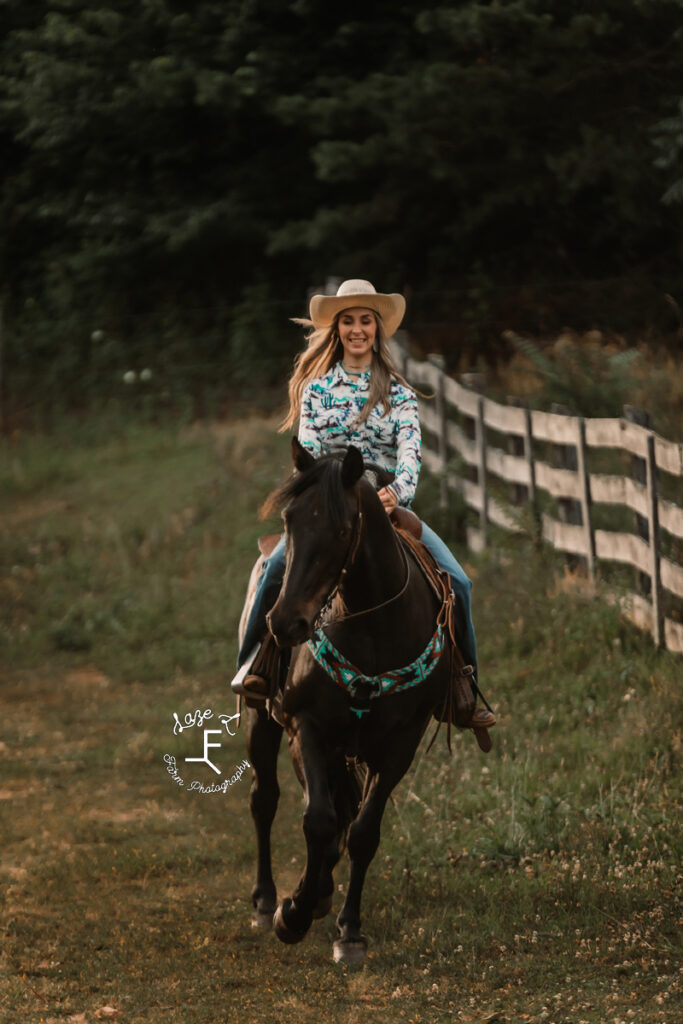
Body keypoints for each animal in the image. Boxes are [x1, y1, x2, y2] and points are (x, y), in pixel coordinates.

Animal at [242, 438, 450, 958]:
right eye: (289, 521)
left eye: (341, 530)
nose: (285, 623)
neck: (371, 629)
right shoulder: (307, 728)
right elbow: (317, 820)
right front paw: (292, 914)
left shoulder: (400, 745)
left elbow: (361, 833)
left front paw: (349, 930)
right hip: (261, 719)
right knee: (265, 798)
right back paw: (267, 900)